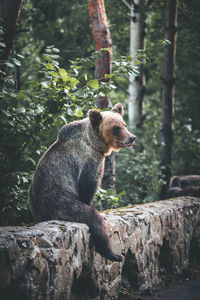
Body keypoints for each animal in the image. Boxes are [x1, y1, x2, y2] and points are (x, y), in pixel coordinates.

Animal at [28, 103, 136, 262]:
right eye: (116, 127)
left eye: (124, 124)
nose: (132, 137)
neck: (95, 143)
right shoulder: (89, 161)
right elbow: (88, 186)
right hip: (61, 204)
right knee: (92, 219)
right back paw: (114, 254)